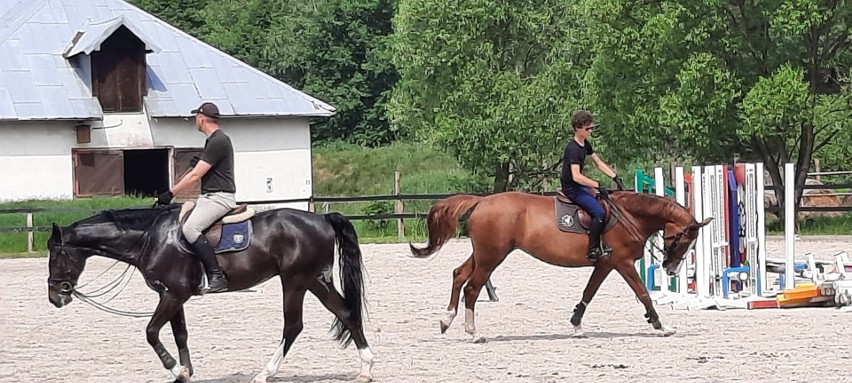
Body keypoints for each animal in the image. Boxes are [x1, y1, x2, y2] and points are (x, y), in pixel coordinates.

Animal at [47, 204, 376, 383]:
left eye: (57, 254)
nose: (55, 296)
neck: (150, 238)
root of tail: (321, 219)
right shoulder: (172, 296)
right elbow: (180, 333)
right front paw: (186, 371)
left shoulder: (172, 295)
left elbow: (151, 332)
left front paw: (175, 369)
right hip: (315, 280)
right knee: (346, 312)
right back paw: (366, 368)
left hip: (294, 281)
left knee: (293, 325)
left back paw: (265, 373)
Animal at [410, 190, 708, 344]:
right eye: (684, 241)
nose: (671, 269)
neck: (630, 216)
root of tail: (483, 201)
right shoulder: (622, 263)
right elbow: (643, 293)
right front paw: (661, 325)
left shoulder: (605, 264)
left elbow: (589, 293)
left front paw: (577, 326)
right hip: (491, 257)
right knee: (472, 288)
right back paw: (474, 333)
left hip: (484, 254)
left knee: (459, 275)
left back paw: (446, 320)